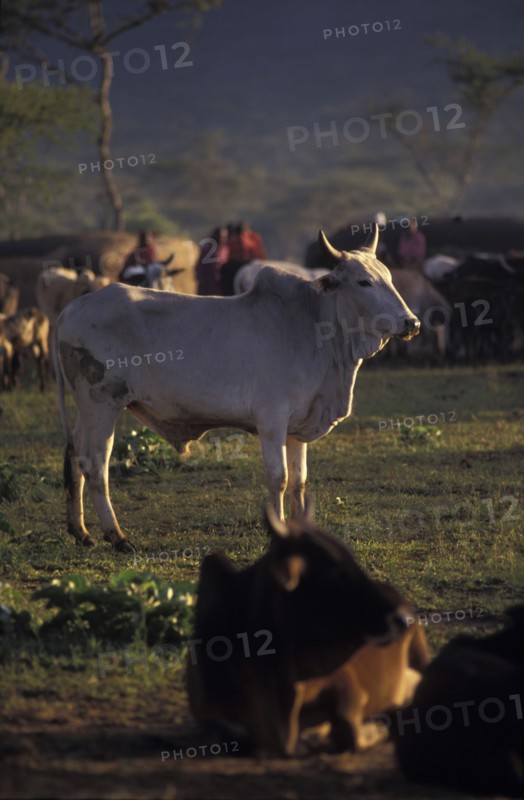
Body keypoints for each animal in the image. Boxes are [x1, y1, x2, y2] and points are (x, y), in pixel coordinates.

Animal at [54, 225, 420, 551]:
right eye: (363, 281)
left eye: (388, 277)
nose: (412, 322)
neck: (316, 329)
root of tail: (69, 311)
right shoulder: (272, 421)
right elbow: (279, 478)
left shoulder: (297, 429)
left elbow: (299, 482)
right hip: (102, 405)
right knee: (96, 468)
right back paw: (117, 537)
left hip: (86, 410)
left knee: (75, 458)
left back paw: (81, 532)